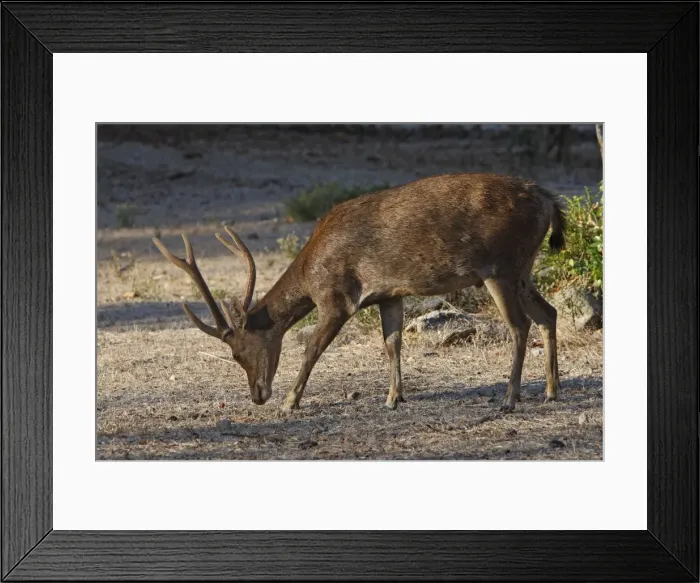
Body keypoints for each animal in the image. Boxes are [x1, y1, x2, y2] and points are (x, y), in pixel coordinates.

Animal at [153, 173, 565, 414]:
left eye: (237, 353)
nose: (257, 395)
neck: (311, 270)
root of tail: (549, 199)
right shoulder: (389, 294)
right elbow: (392, 342)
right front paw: (393, 398)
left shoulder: (337, 298)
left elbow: (311, 349)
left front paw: (289, 402)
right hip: (523, 267)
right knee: (549, 313)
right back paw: (551, 390)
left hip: (501, 265)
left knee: (520, 325)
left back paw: (510, 399)